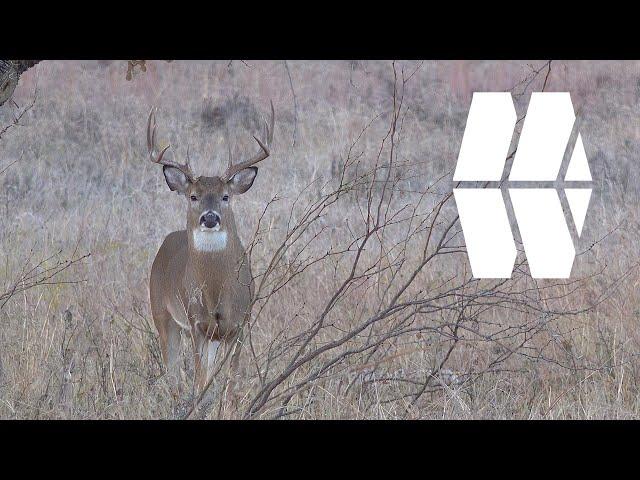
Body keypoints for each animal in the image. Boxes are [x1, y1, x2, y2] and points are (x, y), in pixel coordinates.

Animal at [146, 101, 274, 394]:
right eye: (193, 196)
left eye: (226, 196)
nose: (210, 217)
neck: (218, 290)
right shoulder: (197, 323)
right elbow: (200, 379)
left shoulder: (240, 323)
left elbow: (230, 380)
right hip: (162, 313)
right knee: (172, 372)